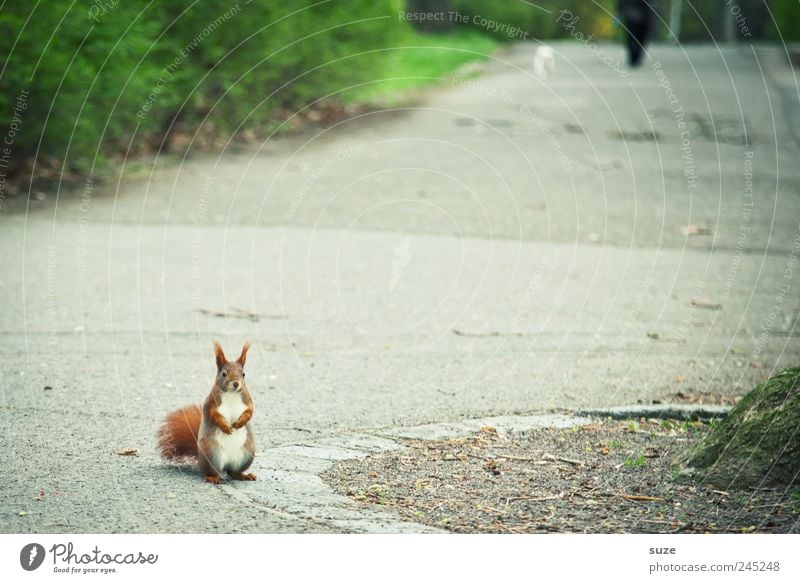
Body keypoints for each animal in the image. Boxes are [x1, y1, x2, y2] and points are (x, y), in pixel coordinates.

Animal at [155, 342, 255, 484]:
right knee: (212, 471)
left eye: (243, 374)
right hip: (211, 452)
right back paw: (212, 478)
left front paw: (239, 423)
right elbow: (214, 415)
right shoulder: (211, 403)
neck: (231, 394)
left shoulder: (248, 401)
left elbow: (249, 412)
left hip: (247, 454)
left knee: (234, 473)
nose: (236, 383)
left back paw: (244, 475)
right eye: (224, 374)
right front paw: (225, 427)